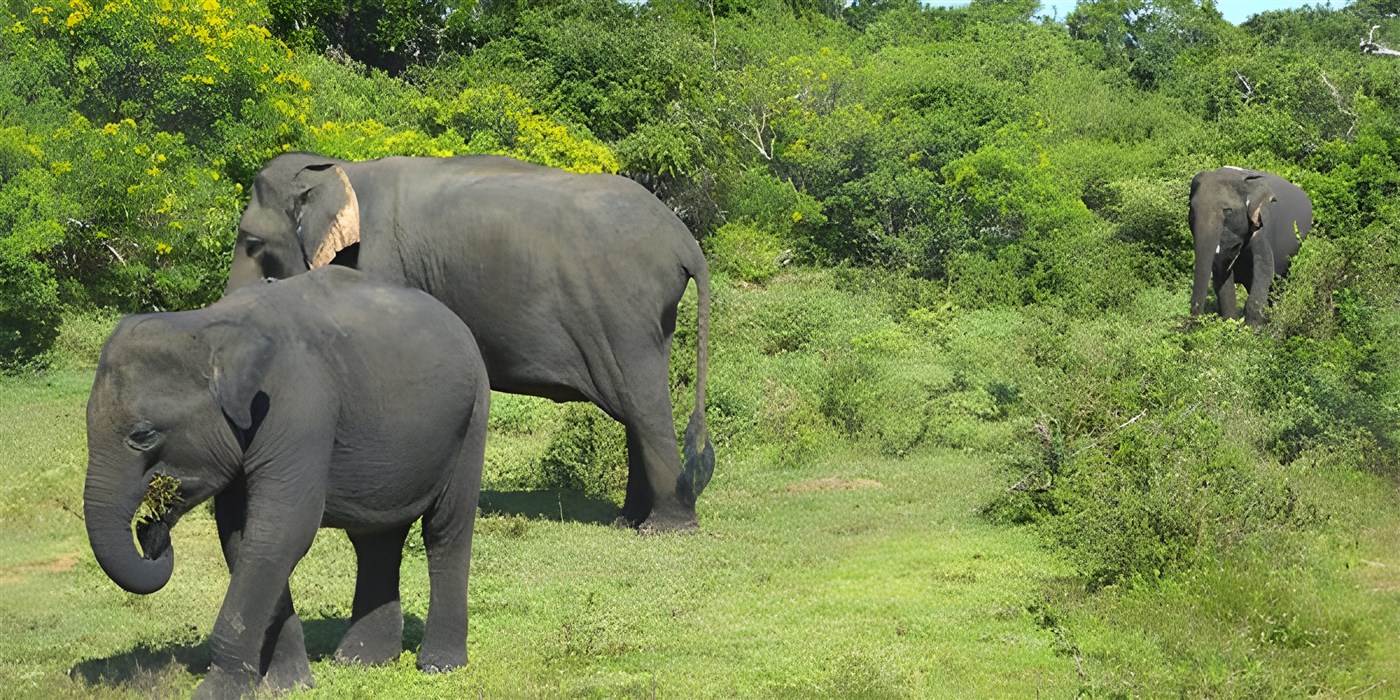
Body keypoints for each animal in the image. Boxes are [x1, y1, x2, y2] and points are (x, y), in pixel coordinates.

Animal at [83, 266, 489, 699]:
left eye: (143, 436)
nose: (150, 532)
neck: (210, 326)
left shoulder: (298, 408)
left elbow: (282, 530)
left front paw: (217, 691)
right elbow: (243, 536)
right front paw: (287, 685)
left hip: (473, 415)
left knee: (445, 529)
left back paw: (438, 666)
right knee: (376, 539)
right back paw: (361, 660)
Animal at [224, 153, 713, 532]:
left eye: (252, 243)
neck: (338, 169)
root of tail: (685, 240)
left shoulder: (379, 266)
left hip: (625, 312)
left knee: (643, 405)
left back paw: (662, 528)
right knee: (635, 408)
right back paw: (628, 520)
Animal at [1189, 166, 1312, 327]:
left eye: (1228, 210)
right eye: (1191, 209)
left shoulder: (1262, 229)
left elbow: (1265, 270)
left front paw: (1253, 330)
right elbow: (1221, 274)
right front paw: (1231, 324)